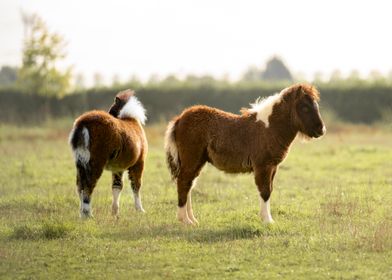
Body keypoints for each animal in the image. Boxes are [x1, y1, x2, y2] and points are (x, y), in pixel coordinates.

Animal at [69, 89, 147, 219]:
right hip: (95, 162)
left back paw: (82, 213)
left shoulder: (118, 167)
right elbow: (136, 185)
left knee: (80, 186)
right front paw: (140, 209)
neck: (130, 119)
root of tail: (83, 123)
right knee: (89, 185)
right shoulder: (139, 163)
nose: (110, 113)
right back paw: (88, 214)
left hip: (80, 162)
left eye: (112, 109)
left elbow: (117, 186)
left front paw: (115, 212)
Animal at [164, 83, 326, 225]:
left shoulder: (273, 167)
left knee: (189, 184)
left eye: (316, 105)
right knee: (183, 183)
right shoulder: (263, 166)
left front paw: (267, 219)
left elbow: (269, 190)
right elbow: (265, 191)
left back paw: (192, 220)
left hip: (198, 162)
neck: (270, 128)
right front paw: (267, 221)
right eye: (304, 107)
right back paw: (185, 221)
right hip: (191, 160)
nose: (321, 130)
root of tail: (180, 118)